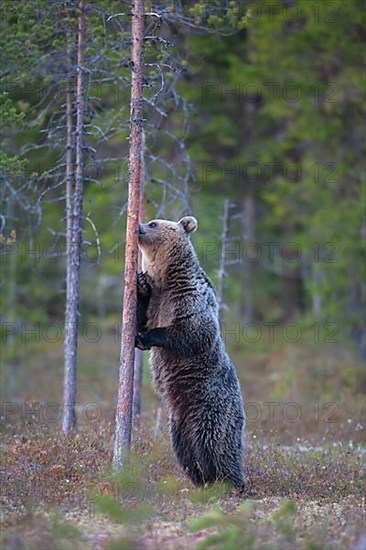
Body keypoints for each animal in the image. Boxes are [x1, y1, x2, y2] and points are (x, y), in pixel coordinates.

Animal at [136, 217, 244, 492]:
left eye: (154, 223)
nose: (138, 226)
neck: (167, 278)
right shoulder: (156, 302)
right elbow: (140, 315)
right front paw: (140, 284)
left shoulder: (190, 298)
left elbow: (193, 331)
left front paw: (146, 338)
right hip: (178, 424)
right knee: (186, 452)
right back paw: (200, 481)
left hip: (211, 408)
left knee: (216, 446)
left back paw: (229, 483)